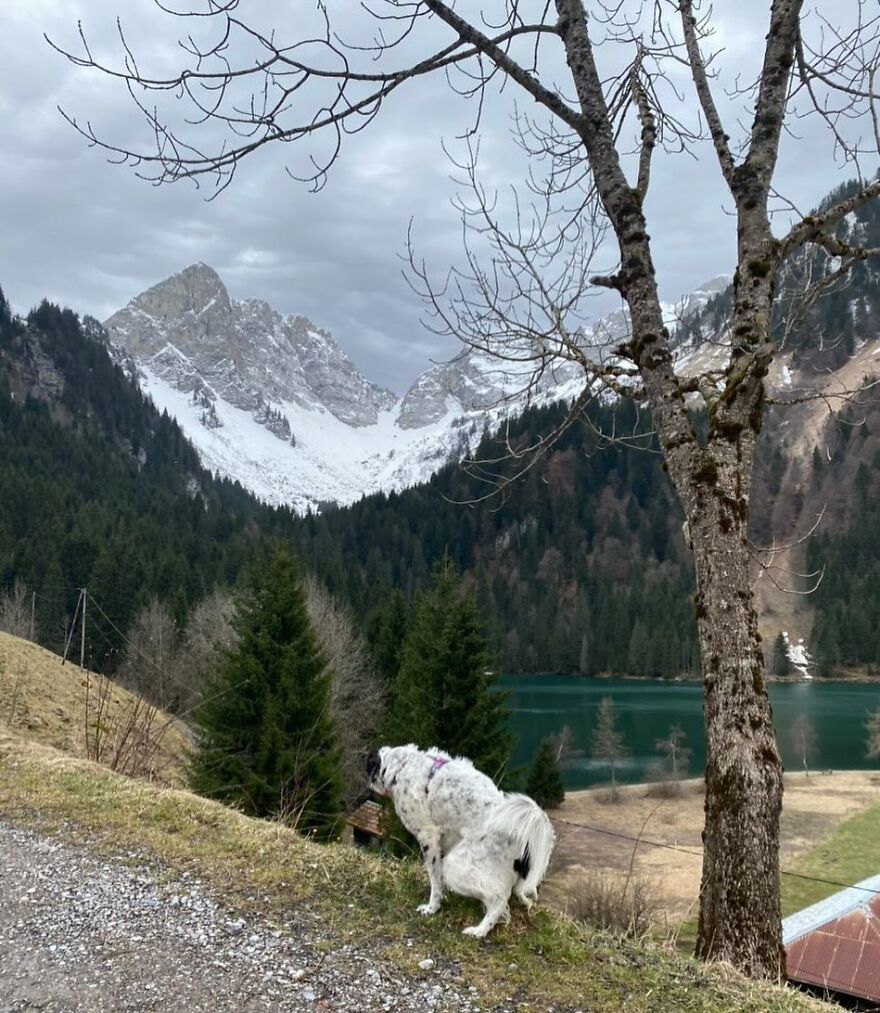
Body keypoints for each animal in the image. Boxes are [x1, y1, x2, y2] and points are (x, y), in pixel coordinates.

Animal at [366, 741, 550, 936]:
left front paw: (432, 907)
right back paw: (524, 901)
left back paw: (480, 930)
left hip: (457, 866)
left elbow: (435, 878)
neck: (402, 765)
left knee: (499, 900)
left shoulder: (428, 837)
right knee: (515, 890)